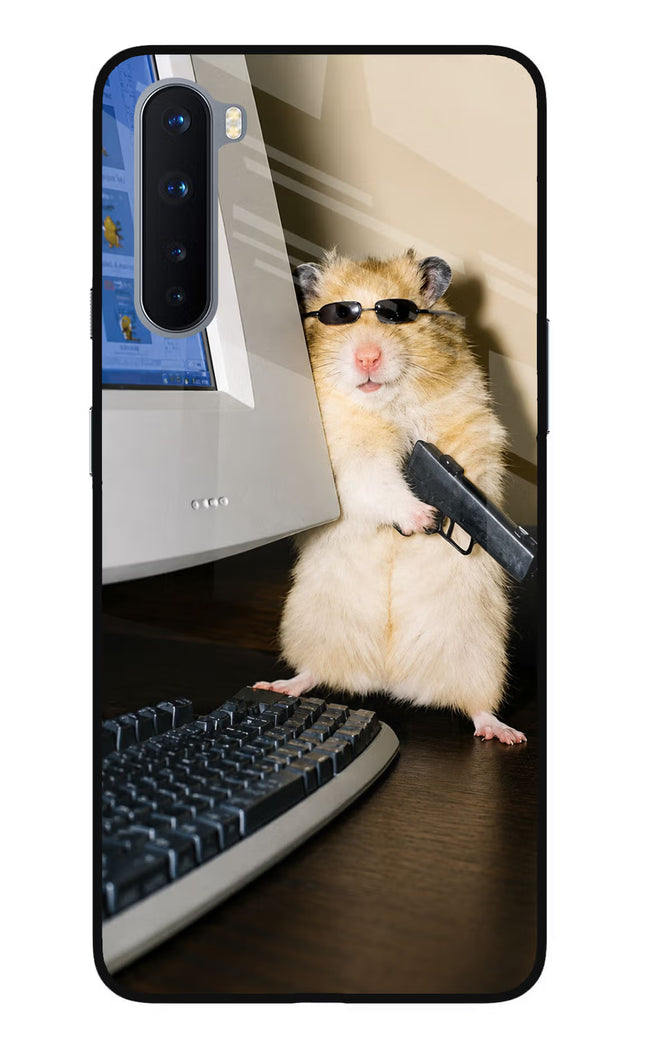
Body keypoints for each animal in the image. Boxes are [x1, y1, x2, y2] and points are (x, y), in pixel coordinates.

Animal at [255, 249, 526, 744]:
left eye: (396, 314)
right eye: (339, 316)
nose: (367, 357)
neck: (386, 404)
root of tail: (388, 678)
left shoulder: (471, 428)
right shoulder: (347, 459)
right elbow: (378, 483)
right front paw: (423, 518)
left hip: (479, 654)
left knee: (477, 705)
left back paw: (504, 733)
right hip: (311, 626)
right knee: (314, 672)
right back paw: (279, 685)